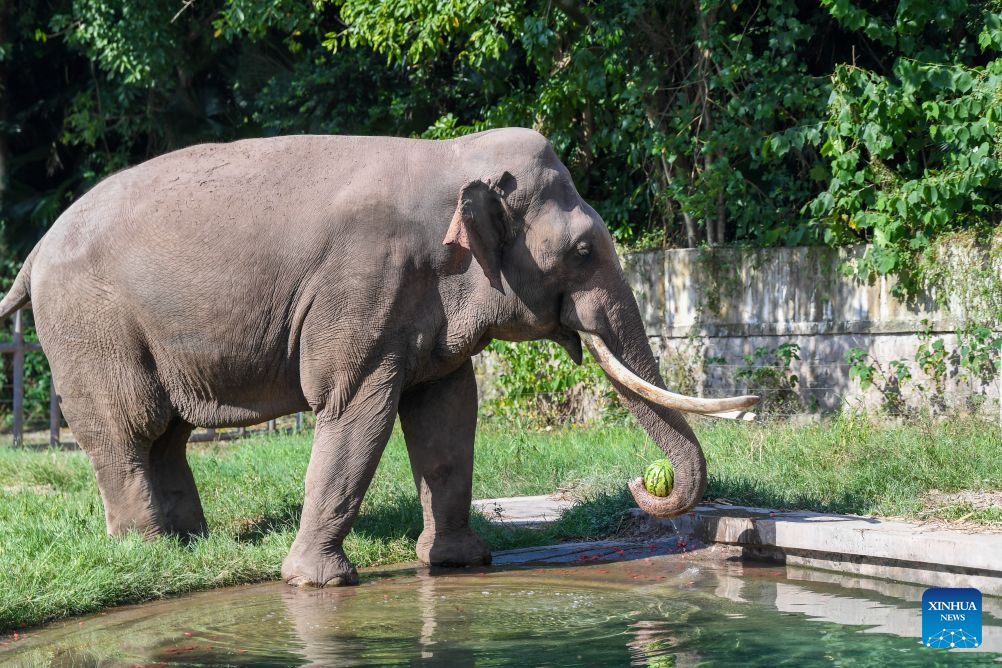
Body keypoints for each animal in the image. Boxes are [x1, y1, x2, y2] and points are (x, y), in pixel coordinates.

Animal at [0, 128, 756, 586]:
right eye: (581, 251)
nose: (642, 482)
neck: (452, 158)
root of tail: (35, 250)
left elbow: (448, 414)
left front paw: (460, 565)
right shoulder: (362, 288)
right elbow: (355, 410)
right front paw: (317, 583)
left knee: (169, 435)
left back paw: (193, 544)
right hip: (90, 330)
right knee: (127, 432)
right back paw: (147, 551)